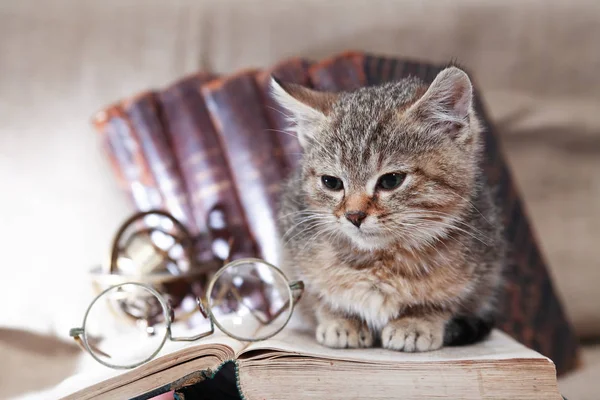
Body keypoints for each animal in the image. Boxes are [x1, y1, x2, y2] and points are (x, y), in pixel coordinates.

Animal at [274, 67, 504, 352]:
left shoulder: (481, 266)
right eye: (331, 182)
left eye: (391, 180)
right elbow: (319, 294)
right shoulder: (294, 251)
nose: (354, 215)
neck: (379, 261)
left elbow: (443, 300)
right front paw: (341, 320)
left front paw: (416, 322)